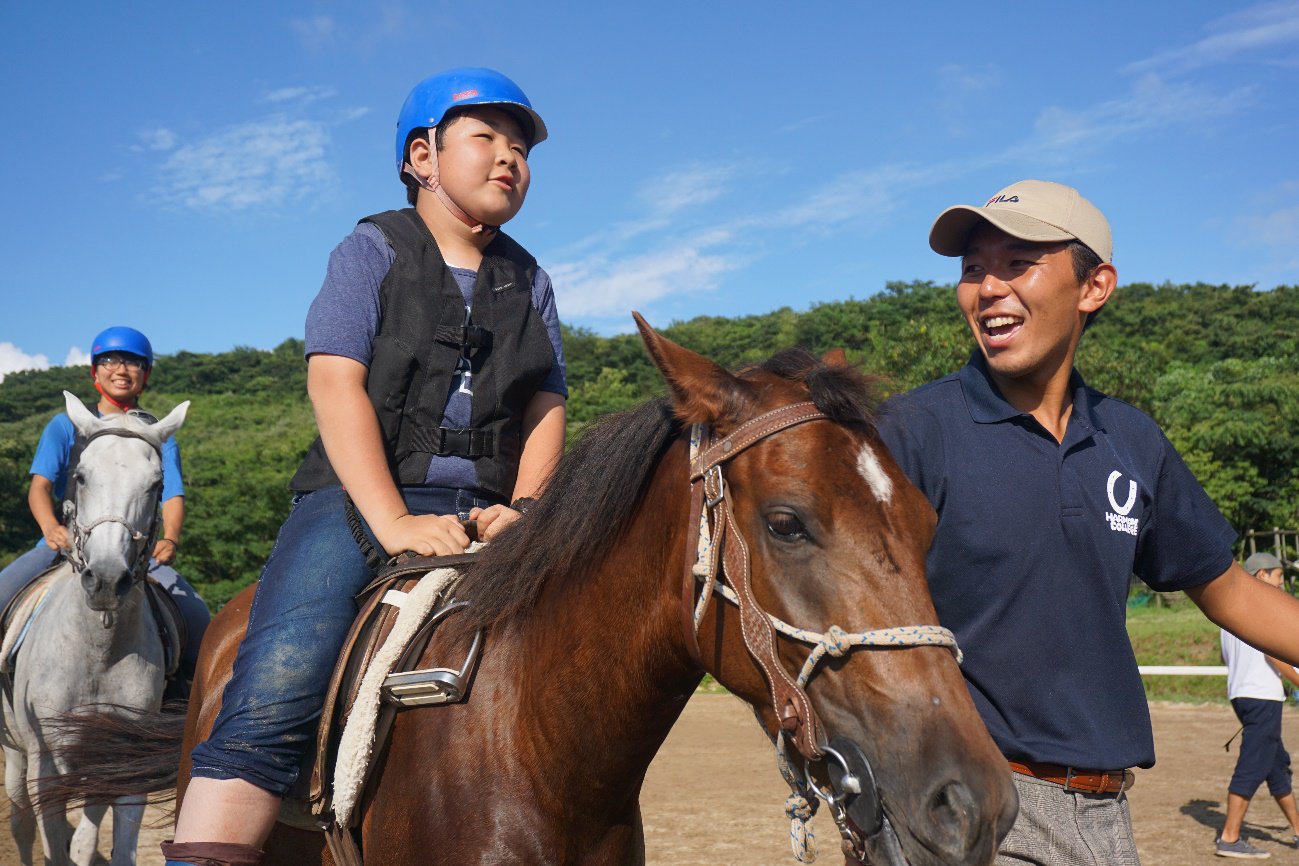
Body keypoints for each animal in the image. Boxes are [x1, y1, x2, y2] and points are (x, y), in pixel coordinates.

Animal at [1, 394, 189, 866]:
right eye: (81, 476)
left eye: (156, 483)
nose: (106, 579)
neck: (97, 651)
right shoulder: (45, 763)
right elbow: (53, 844)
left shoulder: (122, 761)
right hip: (15, 754)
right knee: (21, 823)